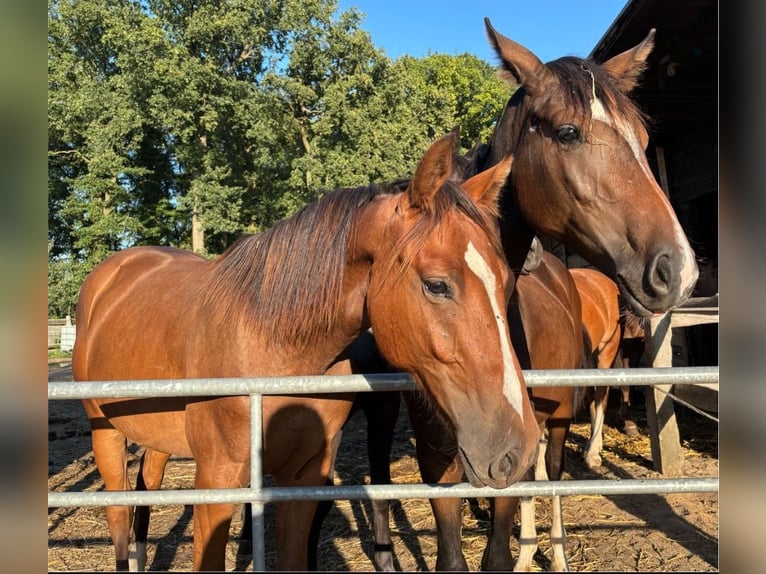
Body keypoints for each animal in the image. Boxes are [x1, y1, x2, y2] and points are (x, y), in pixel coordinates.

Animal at [70, 132, 540, 572]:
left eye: (505, 282)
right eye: (437, 284)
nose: (517, 447)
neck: (273, 351)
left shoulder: (302, 479)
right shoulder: (217, 482)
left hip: (156, 439)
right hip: (104, 432)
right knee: (117, 516)